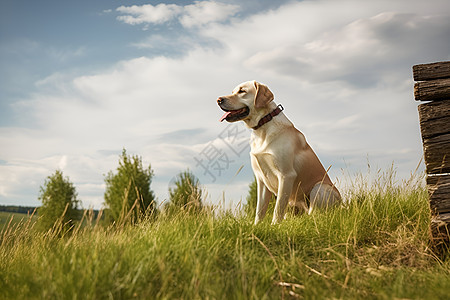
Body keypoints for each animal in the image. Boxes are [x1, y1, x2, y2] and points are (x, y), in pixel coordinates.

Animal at [216, 81, 340, 224]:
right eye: (233, 91)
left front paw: (274, 225)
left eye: (242, 91)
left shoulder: (286, 175)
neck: (263, 126)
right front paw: (256, 226)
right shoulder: (261, 179)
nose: (219, 100)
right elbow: (260, 210)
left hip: (320, 188)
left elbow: (278, 208)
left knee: (314, 213)